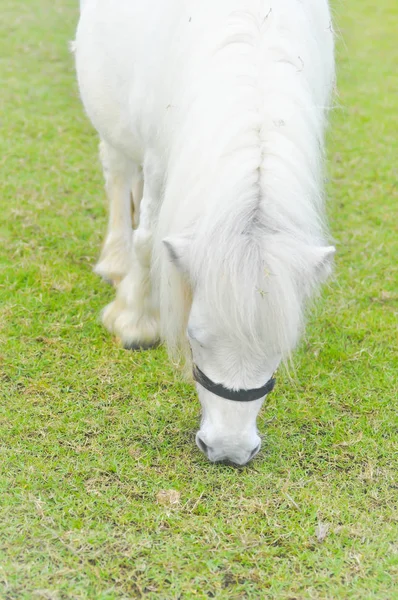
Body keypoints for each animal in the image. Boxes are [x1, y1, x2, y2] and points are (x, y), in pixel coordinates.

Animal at [74, 0, 336, 466]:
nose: (229, 449)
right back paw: (116, 262)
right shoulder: (158, 155)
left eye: (282, 347)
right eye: (194, 337)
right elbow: (147, 242)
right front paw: (135, 323)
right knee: (118, 176)